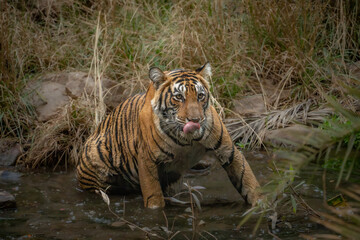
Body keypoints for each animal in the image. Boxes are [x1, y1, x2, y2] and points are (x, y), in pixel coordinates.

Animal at [77, 62, 260, 209]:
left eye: (200, 96)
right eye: (179, 97)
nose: (195, 120)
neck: (187, 140)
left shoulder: (228, 151)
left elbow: (248, 180)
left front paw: (260, 206)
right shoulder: (147, 160)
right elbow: (153, 195)